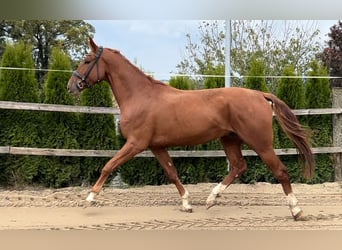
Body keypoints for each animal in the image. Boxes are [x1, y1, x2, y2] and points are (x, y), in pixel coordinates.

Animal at [67, 38, 316, 220]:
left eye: (87, 61)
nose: (72, 86)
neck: (140, 96)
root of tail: (260, 95)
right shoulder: (157, 146)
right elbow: (172, 172)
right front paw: (187, 204)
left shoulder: (136, 143)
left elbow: (108, 166)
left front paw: (89, 199)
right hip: (230, 139)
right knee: (238, 166)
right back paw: (211, 199)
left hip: (260, 143)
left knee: (280, 171)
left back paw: (296, 211)